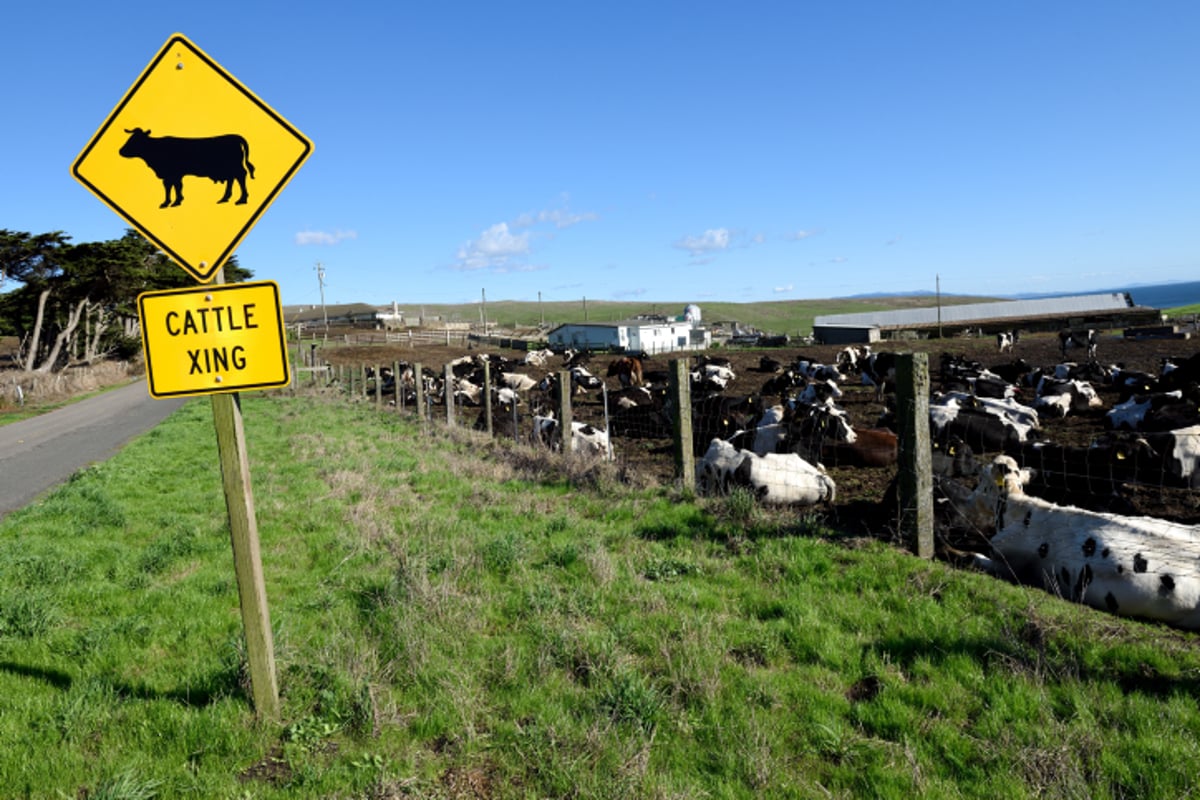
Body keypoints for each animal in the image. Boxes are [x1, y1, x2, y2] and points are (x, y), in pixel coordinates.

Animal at [119, 125, 255, 206]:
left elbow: (175, 186)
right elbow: (171, 186)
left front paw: (175, 202)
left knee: (241, 176)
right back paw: (224, 198)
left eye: (135, 140)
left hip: (235, 166)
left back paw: (242, 199)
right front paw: (169, 202)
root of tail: (235, 136)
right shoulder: (171, 174)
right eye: (130, 138)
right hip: (229, 168)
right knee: (232, 179)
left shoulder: (173, 173)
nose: (121, 151)